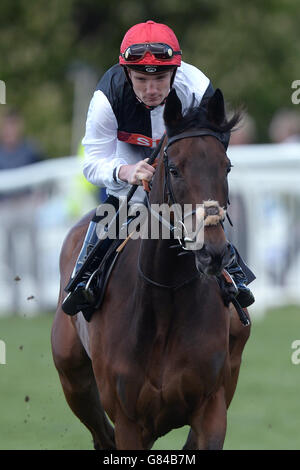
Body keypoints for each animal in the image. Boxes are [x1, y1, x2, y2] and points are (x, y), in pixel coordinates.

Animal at [51, 88, 251, 452]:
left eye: (226, 166)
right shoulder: (129, 420)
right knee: (101, 434)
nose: (213, 252)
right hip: (73, 379)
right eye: (173, 168)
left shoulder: (211, 407)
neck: (164, 298)